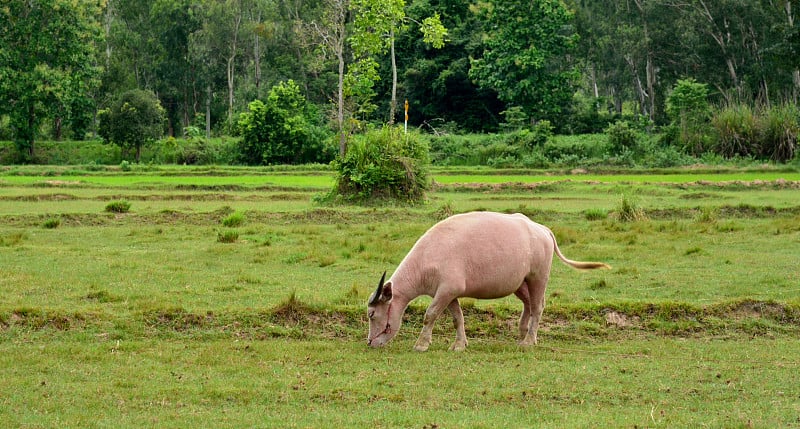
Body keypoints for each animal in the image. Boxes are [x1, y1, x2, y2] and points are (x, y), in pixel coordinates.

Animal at [366, 209, 608, 350]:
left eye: (371, 314)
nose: (369, 341)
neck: (426, 260)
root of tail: (541, 229)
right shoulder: (448, 293)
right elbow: (458, 318)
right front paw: (460, 344)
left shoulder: (447, 290)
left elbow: (429, 315)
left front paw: (421, 344)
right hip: (519, 283)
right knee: (528, 304)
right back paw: (522, 333)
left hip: (538, 276)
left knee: (538, 306)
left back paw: (529, 340)